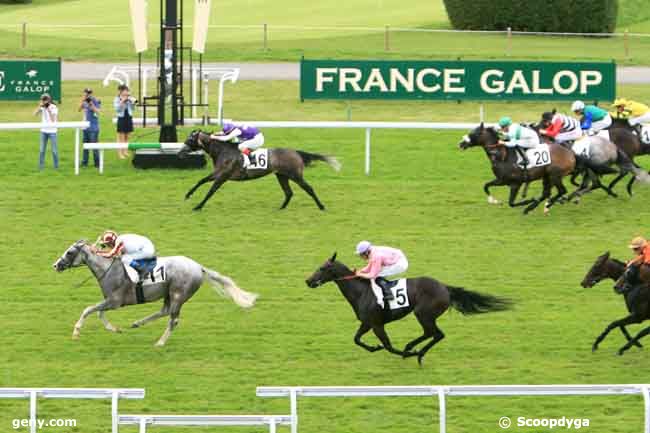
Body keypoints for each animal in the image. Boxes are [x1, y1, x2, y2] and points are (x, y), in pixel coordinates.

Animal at [53, 241, 256, 346]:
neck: (108, 269)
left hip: (178, 295)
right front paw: (114, 328)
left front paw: (76, 332)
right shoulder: (111, 301)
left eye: (69, 252)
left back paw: (160, 342)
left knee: (173, 320)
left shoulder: (115, 301)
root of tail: (199, 267)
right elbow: (99, 312)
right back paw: (137, 323)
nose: (56, 265)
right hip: (168, 294)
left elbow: (89, 309)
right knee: (164, 311)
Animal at [177, 129, 340, 210]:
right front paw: (188, 195)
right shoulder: (218, 173)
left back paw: (321, 206)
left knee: (309, 189)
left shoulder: (223, 176)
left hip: (295, 175)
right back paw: (281, 208)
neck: (223, 151)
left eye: (189, 139)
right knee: (289, 193)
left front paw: (198, 206)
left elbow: (211, 191)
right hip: (282, 176)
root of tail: (296, 152)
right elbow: (201, 180)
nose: (179, 153)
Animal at [304, 253, 512, 364]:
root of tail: (445, 287)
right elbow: (357, 339)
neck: (362, 291)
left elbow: (388, 346)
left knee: (437, 334)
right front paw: (374, 347)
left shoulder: (377, 324)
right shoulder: (367, 323)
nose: (308, 281)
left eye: (322, 268)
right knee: (431, 334)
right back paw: (412, 348)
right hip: (425, 315)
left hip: (423, 313)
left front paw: (401, 352)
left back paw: (415, 352)